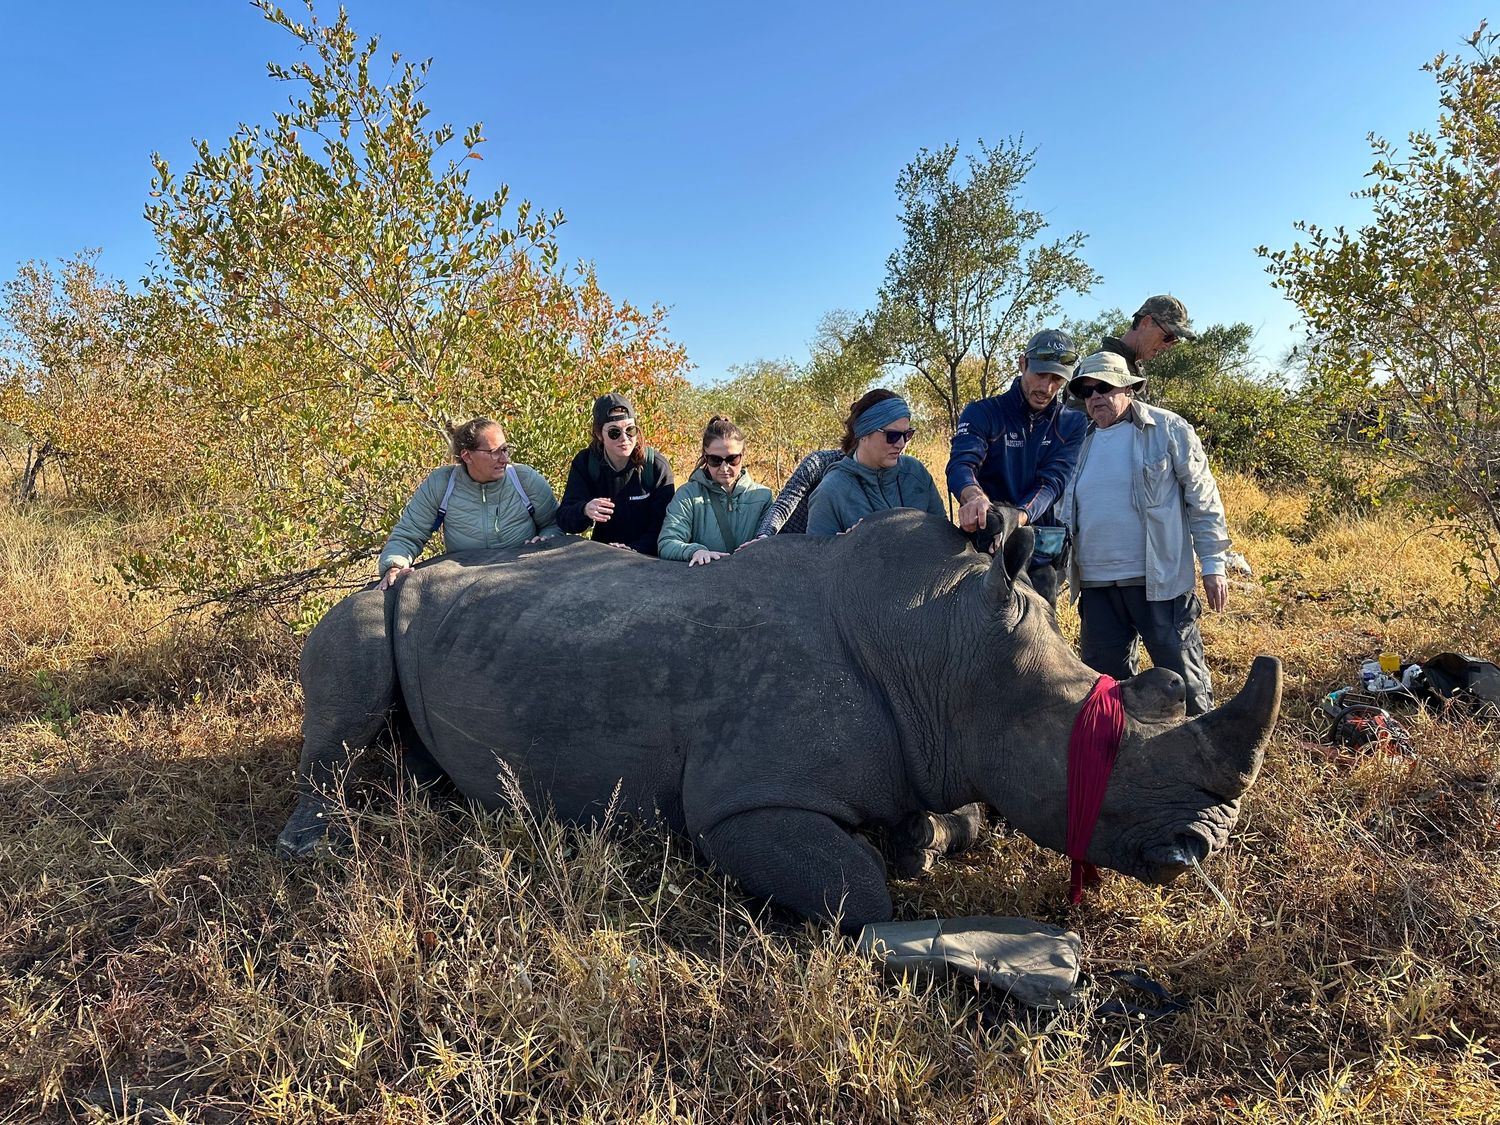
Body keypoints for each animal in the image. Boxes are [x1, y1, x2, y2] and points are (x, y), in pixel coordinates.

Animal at [278, 508, 1281, 930]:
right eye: (1101, 747)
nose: (1204, 846)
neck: (950, 656)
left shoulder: (947, 744)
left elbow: (953, 818)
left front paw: (919, 840)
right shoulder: (744, 801)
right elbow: (859, 896)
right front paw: (821, 905)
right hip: (370, 603)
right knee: (348, 681)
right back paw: (311, 844)